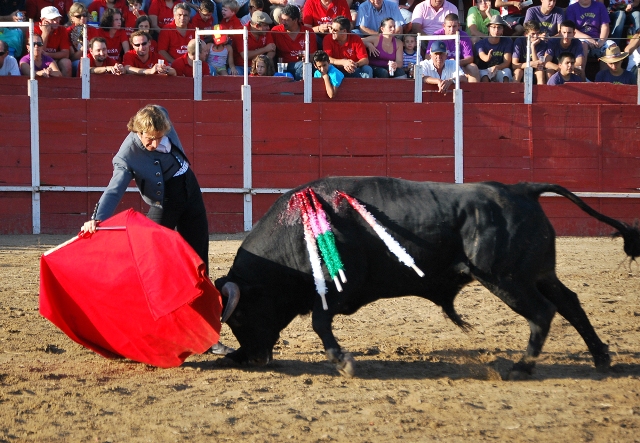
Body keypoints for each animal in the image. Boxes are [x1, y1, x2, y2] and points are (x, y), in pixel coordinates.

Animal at [216, 179, 640, 380]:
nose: (249, 358)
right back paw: (601, 358)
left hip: (507, 279)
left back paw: (521, 368)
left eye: (240, 315)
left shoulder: (338, 288)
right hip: (538, 274)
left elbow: (321, 323)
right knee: (569, 303)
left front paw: (344, 362)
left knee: (543, 313)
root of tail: (523, 189)